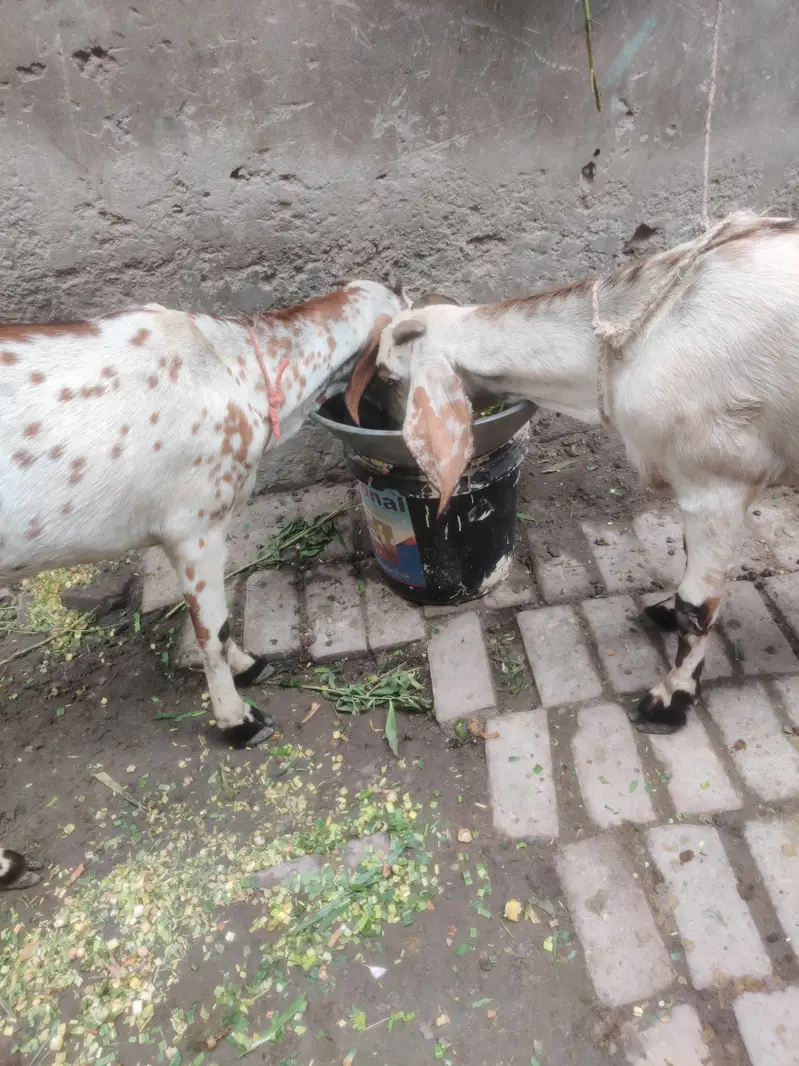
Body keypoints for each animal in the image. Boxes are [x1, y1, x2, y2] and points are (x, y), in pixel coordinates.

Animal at [0, 279, 406, 887]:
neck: (234, 367)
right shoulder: (194, 526)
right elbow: (210, 628)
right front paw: (239, 720)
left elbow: (217, 623)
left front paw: (250, 665)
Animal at [348, 212, 799, 735]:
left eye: (387, 374)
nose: (374, 424)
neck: (639, 338)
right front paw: (664, 613)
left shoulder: (717, 485)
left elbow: (697, 605)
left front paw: (670, 699)